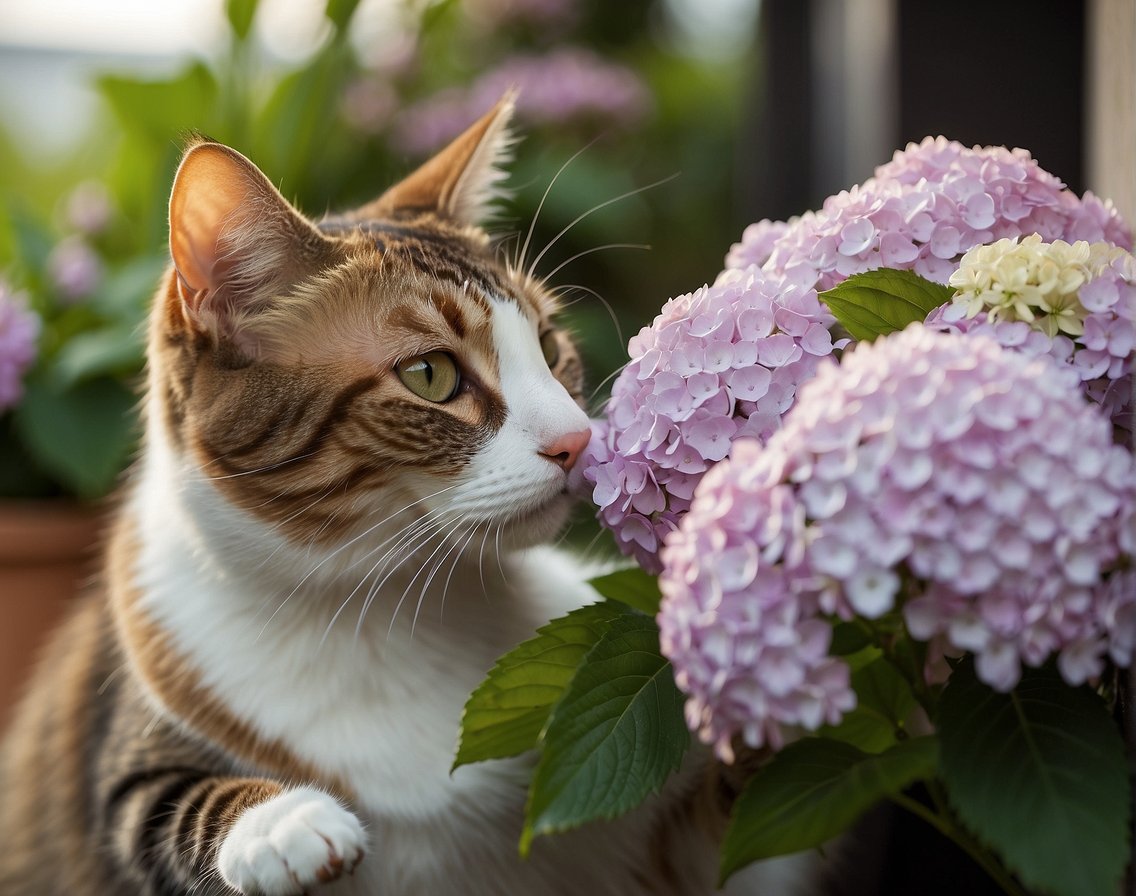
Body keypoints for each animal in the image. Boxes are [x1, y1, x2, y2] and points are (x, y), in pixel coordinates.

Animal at [0, 94, 817, 890]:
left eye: (549, 346)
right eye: (431, 375)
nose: (579, 440)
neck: (385, 611)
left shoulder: (663, 848)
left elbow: (748, 831)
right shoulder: (123, 760)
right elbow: (156, 804)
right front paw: (283, 823)